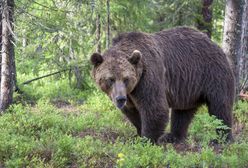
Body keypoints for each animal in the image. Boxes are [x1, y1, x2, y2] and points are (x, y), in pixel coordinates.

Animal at [90, 26, 234, 144]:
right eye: (110, 79)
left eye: (126, 79)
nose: (120, 99)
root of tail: (214, 43)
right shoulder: (130, 94)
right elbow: (132, 112)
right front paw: (138, 134)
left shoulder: (148, 77)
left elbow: (155, 108)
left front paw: (146, 140)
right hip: (188, 87)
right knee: (182, 112)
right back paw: (172, 136)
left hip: (212, 74)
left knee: (220, 106)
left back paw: (221, 139)